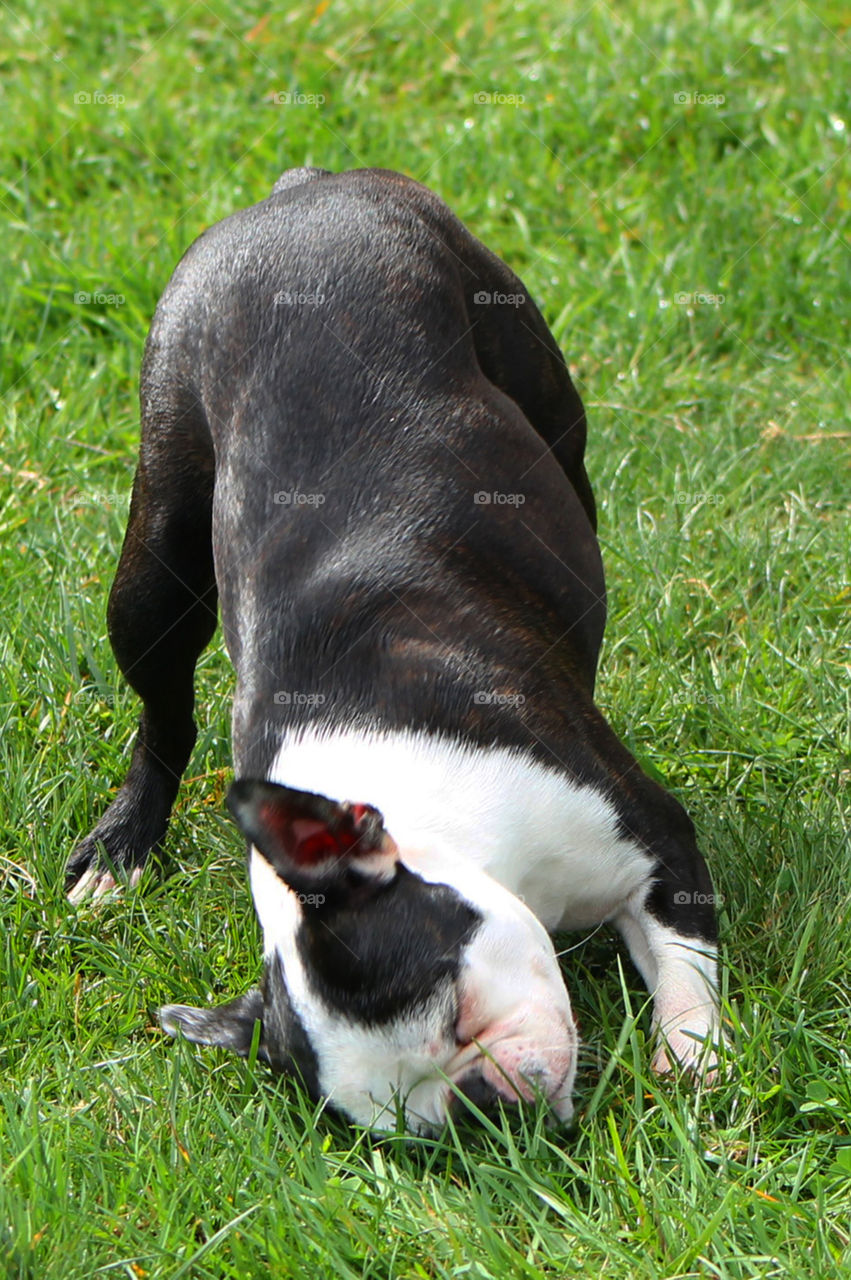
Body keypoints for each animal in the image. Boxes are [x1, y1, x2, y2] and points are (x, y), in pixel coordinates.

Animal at [69, 167, 721, 1131]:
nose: (484, 1105)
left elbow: (686, 977)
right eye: (414, 1129)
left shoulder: (657, 849)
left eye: (454, 1007)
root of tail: (302, 191)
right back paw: (121, 847)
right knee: (163, 713)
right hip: (157, 552)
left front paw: (693, 1063)